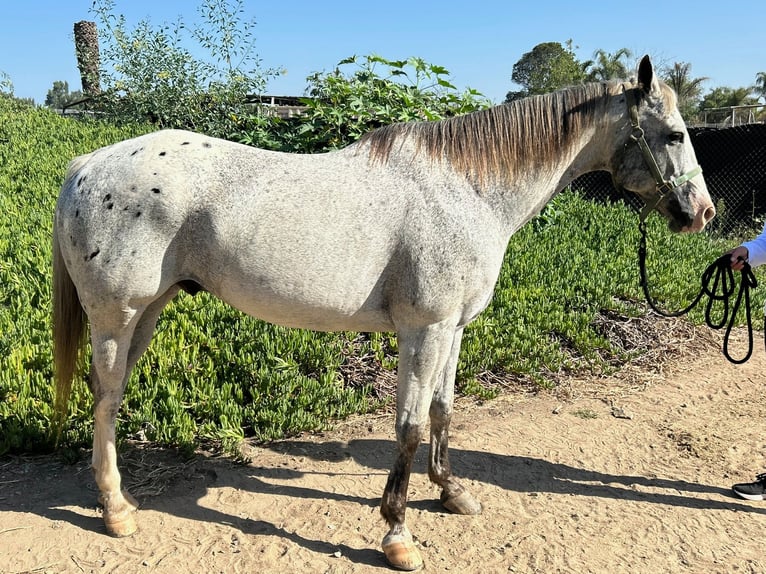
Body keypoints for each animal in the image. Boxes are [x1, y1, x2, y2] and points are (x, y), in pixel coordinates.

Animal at [53, 56, 714, 571]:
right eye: (674, 134)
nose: (703, 212)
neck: (467, 189)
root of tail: (86, 165)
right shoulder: (424, 330)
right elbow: (410, 426)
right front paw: (398, 535)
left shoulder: (452, 329)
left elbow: (444, 412)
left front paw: (451, 493)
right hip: (117, 316)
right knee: (106, 398)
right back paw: (116, 510)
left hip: (148, 313)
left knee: (111, 394)